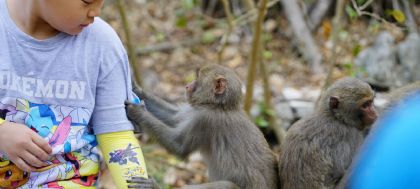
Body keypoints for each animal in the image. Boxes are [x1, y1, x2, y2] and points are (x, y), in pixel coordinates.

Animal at [124, 63, 278, 189]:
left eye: (197, 80)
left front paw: (138, 112)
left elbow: (178, 147)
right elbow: (174, 117)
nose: (187, 85)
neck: (219, 106)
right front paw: (135, 86)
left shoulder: (206, 121)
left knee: (226, 185)